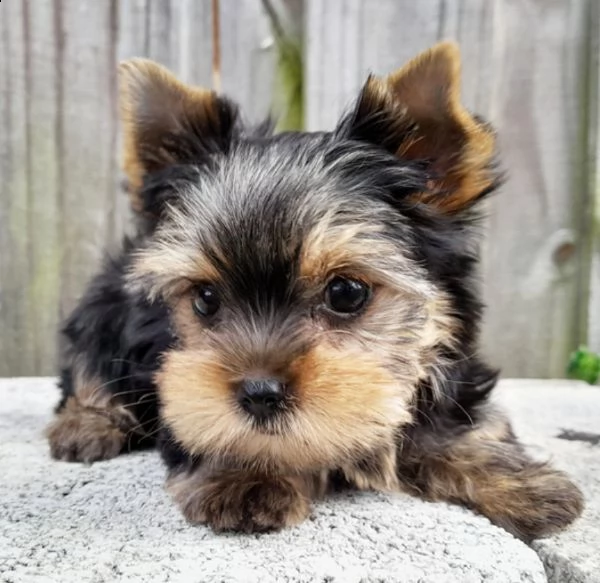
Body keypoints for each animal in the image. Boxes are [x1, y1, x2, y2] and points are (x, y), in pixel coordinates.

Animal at [47, 42, 580, 544]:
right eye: (205, 299)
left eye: (345, 292)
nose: (259, 394)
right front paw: (246, 471)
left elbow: (462, 422)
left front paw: (516, 481)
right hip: (102, 307)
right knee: (87, 367)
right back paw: (87, 424)